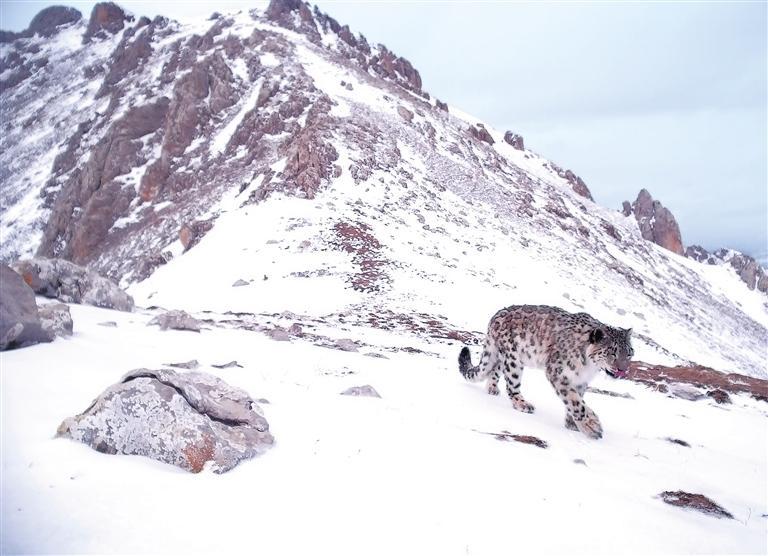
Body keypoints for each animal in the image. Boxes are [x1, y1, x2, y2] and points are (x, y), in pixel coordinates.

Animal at [458, 304, 633, 439]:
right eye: (612, 353)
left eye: (629, 353)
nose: (622, 370)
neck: (589, 367)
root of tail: (495, 315)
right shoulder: (558, 372)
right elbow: (575, 402)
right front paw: (592, 426)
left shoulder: (580, 380)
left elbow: (577, 399)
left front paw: (572, 423)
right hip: (513, 360)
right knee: (512, 386)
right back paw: (523, 404)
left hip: (505, 358)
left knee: (494, 370)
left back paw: (492, 388)